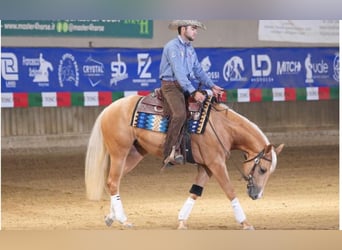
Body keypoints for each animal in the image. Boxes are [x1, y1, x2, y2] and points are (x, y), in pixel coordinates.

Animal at [85, 94, 284, 230]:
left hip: (135, 153)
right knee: (113, 181)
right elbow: (230, 191)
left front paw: (181, 220)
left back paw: (112, 217)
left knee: (113, 181)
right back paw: (124, 220)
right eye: (263, 169)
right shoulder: (216, 164)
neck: (223, 127)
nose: (257, 195)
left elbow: (195, 191)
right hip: (119, 153)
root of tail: (109, 109)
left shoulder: (206, 167)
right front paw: (245, 223)